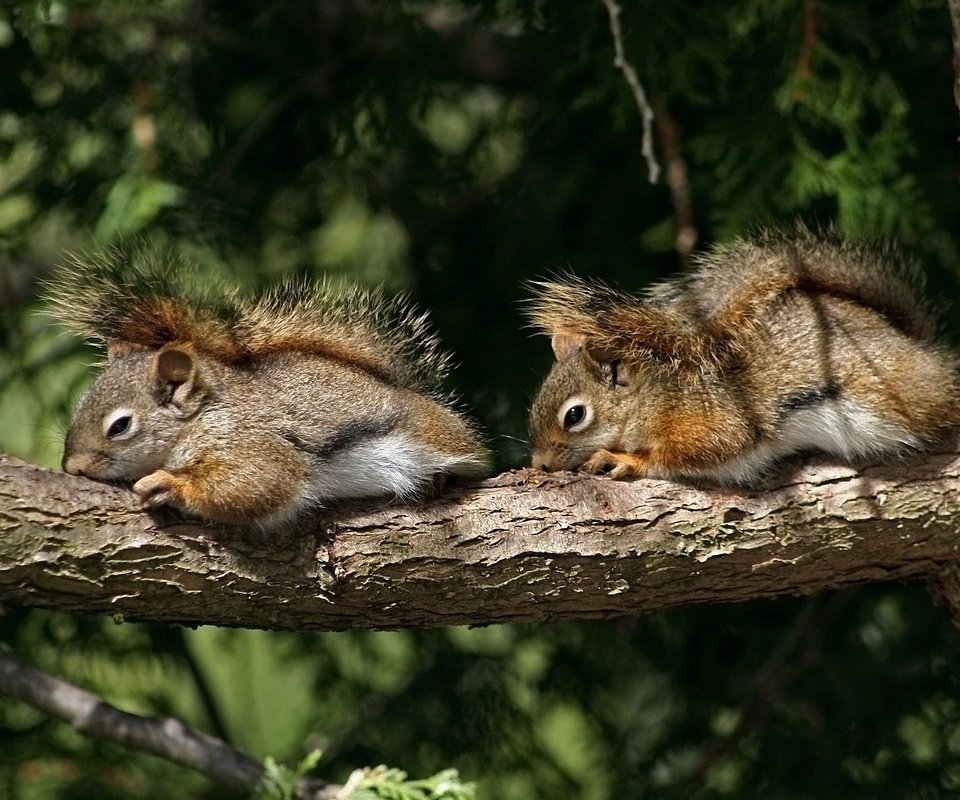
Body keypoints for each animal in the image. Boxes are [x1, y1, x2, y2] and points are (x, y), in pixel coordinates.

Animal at [47, 247, 492, 528]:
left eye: (120, 426)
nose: (72, 468)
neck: (201, 418)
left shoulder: (251, 441)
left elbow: (260, 483)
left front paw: (169, 485)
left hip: (438, 436)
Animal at [524, 228, 960, 484]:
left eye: (574, 415)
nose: (539, 463)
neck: (656, 395)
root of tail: (916, 345)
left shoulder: (713, 419)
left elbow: (698, 452)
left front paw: (623, 459)